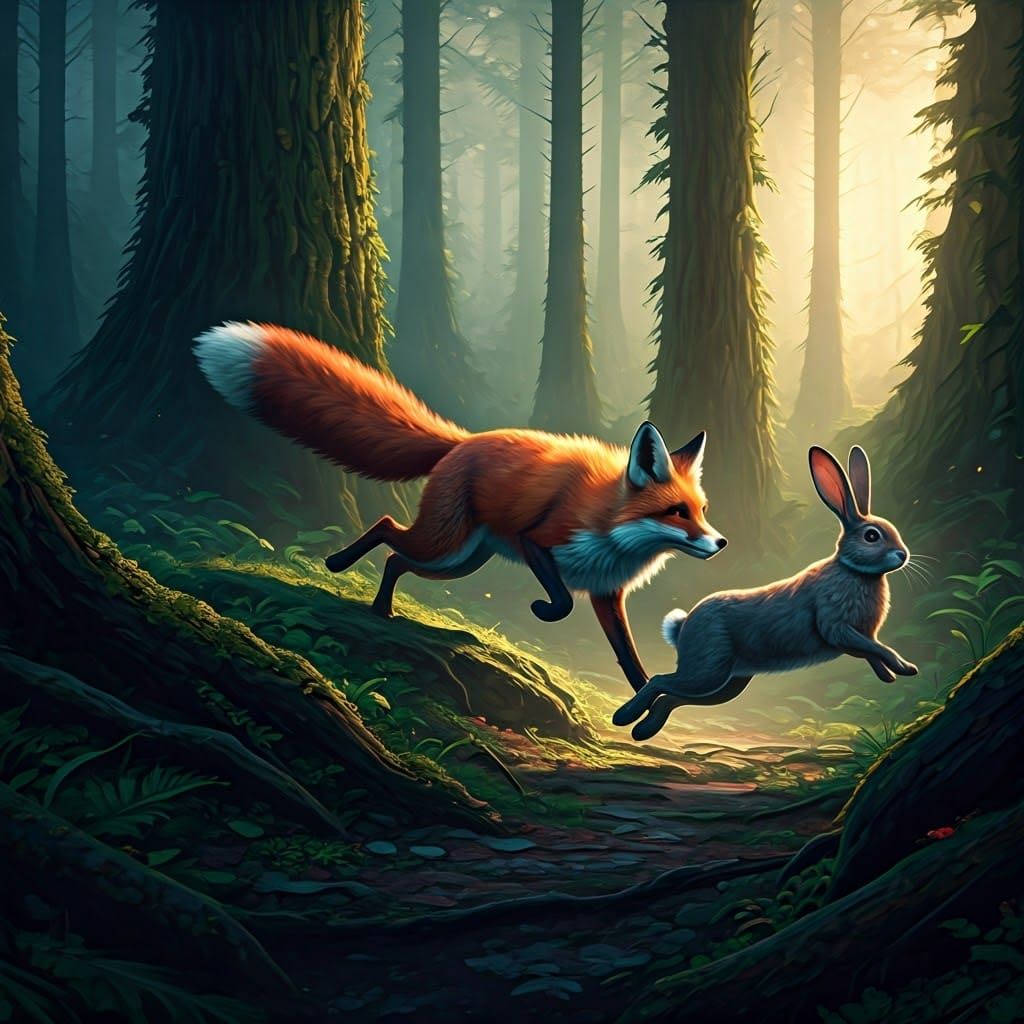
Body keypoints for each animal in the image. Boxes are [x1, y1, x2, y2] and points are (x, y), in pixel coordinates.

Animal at [194, 322, 728, 691]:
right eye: (677, 512)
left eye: (701, 509)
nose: (721, 542)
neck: (612, 531)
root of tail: (464, 440)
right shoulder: (537, 542)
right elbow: (557, 604)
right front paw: (541, 608)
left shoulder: (606, 593)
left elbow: (628, 657)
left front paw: (645, 708)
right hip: (444, 545)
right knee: (386, 527)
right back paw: (341, 566)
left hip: (460, 561)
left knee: (395, 558)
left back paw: (381, 606)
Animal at [613, 445, 919, 741]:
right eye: (872, 536)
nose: (903, 555)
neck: (853, 570)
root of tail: (684, 625)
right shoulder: (837, 627)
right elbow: (879, 648)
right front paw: (906, 668)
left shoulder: (858, 637)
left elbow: (873, 652)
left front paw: (890, 676)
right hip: (708, 669)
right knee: (660, 681)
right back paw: (624, 717)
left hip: (728, 682)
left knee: (673, 698)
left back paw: (643, 730)